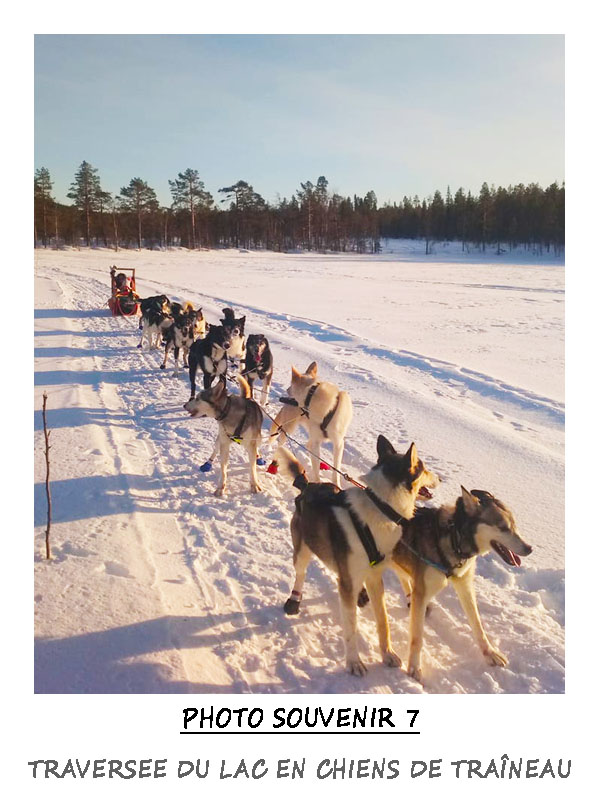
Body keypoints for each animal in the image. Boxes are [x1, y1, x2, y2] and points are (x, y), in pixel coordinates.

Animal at [270, 360, 352, 488]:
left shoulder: (338, 443)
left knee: (308, 446)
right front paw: (318, 483)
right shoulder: (317, 441)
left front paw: (336, 484)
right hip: (288, 428)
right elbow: (316, 467)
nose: (287, 390)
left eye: (291, 385)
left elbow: (336, 469)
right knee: (280, 445)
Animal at [278, 440, 438, 680]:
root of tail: (307, 486)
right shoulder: (347, 582)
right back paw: (295, 599)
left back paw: (361, 595)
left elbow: (383, 621)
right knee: (301, 573)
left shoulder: (375, 577)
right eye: (425, 469)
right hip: (303, 550)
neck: (381, 508)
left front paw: (388, 654)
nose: (440, 478)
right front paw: (354, 662)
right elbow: (351, 629)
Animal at [392, 488, 532, 680]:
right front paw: (414, 666)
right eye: (503, 527)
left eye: (514, 525)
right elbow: (417, 637)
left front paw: (489, 652)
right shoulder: (423, 592)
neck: (454, 539)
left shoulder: (465, 586)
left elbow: (477, 624)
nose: (529, 548)